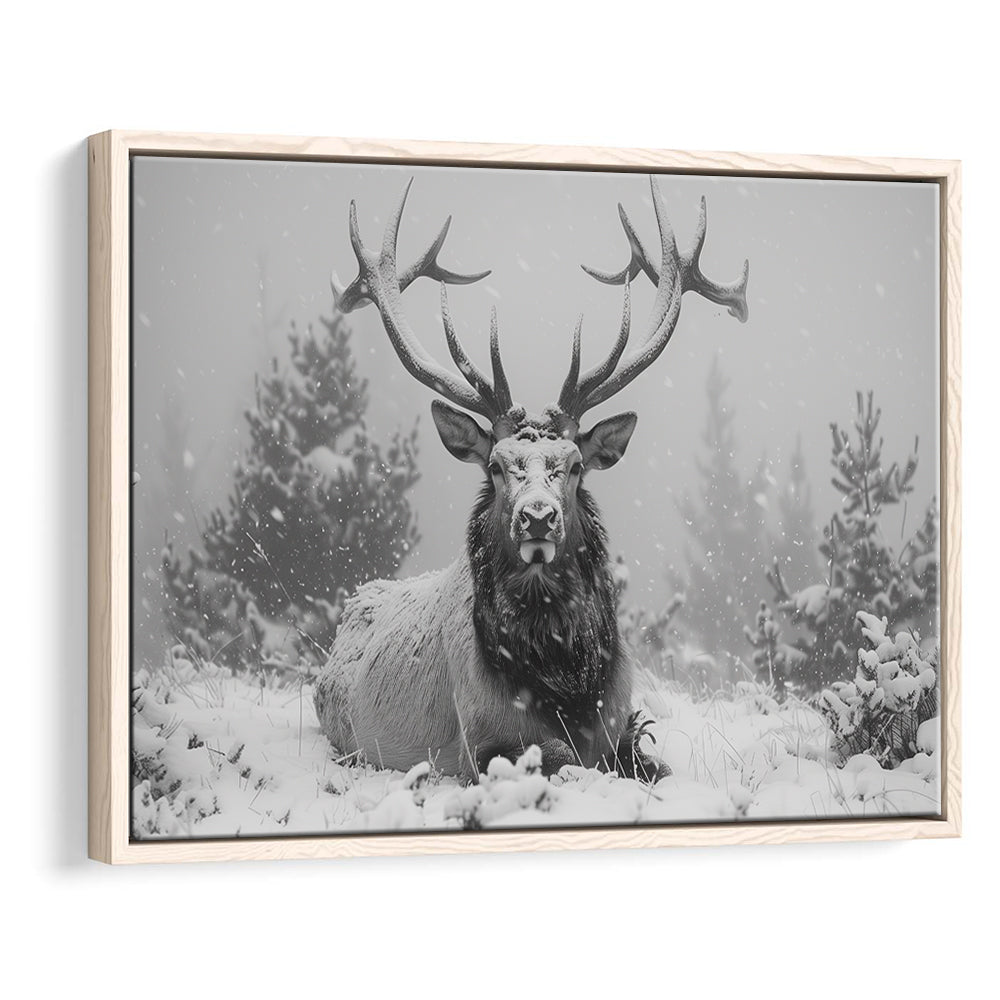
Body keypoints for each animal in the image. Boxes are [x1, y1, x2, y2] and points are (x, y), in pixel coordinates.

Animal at [314, 175, 748, 783]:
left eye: (574, 465)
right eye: (496, 466)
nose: (537, 517)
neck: (567, 684)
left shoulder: (622, 723)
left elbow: (655, 765)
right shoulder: (482, 739)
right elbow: (558, 757)